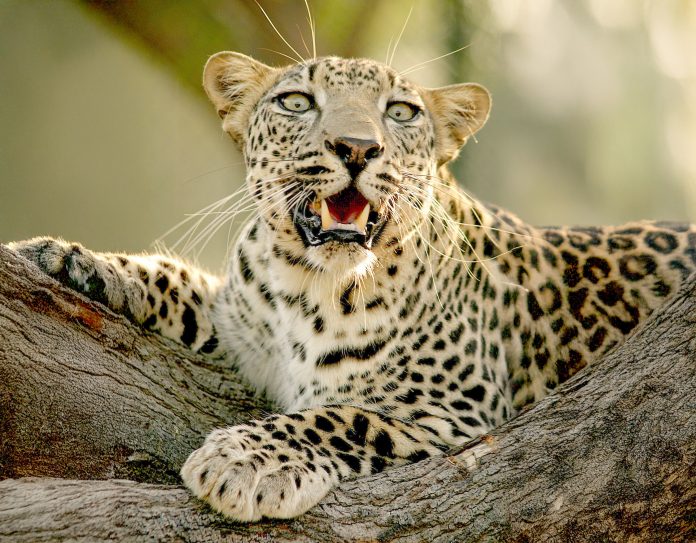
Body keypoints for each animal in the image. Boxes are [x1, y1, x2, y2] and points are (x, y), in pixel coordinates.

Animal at [8, 51, 696, 522]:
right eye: (297, 102)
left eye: (400, 112)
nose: (357, 147)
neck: (310, 287)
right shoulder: (237, 326)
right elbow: (175, 279)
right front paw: (61, 256)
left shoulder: (458, 414)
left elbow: (340, 417)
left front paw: (244, 461)